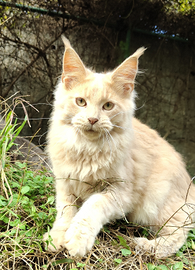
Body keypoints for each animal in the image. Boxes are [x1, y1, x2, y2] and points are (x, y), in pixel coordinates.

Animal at [44, 35, 195, 258]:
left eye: (108, 106)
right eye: (81, 102)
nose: (92, 119)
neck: (87, 150)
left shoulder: (121, 193)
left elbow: (92, 207)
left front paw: (78, 241)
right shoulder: (65, 183)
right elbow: (65, 211)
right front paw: (57, 237)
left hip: (158, 205)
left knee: (180, 233)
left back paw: (147, 246)